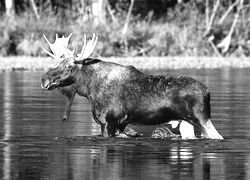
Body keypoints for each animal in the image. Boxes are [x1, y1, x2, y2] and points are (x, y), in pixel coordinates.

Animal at [40, 33, 223, 139]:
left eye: (69, 66)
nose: (44, 79)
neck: (90, 90)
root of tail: (208, 92)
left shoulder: (108, 121)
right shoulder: (122, 123)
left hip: (202, 118)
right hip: (187, 123)